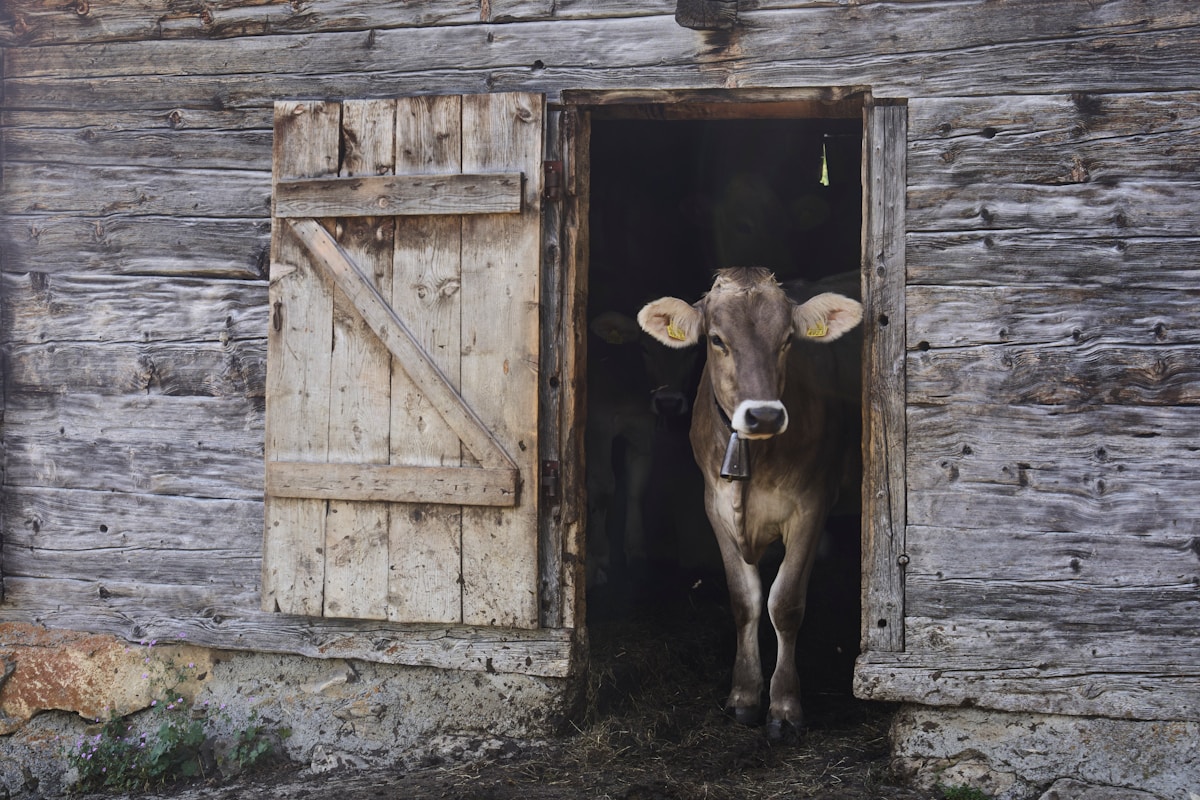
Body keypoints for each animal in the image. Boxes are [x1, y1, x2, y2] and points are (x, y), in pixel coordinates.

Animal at [637, 266, 862, 737]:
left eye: (788, 339)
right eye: (716, 339)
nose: (764, 416)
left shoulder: (812, 506)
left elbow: (785, 603)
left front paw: (784, 706)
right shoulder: (716, 507)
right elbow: (745, 601)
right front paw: (743, 695)